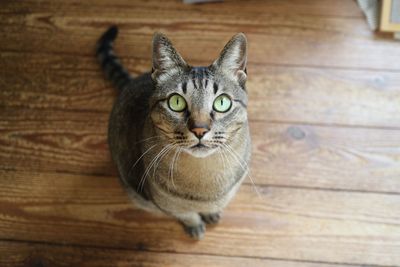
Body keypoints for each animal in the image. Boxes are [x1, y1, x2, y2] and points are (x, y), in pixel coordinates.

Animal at [96, 26, 250, 241]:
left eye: (222, 102)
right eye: (176, 102)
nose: (200, 129)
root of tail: (130, 82)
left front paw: (211, 213)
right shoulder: (168, 205)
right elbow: (188, 215)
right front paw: (195, 225)